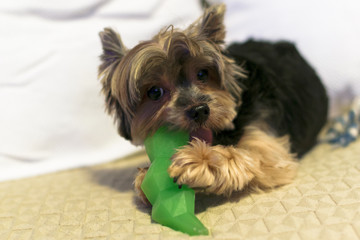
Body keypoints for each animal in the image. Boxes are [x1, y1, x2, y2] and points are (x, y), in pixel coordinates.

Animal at [98, 3, 330, 203]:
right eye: (155, 92)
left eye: (202, 74)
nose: (200, 110)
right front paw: (145, 177)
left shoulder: (269, 148)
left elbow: (246, 155)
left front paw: (199, 160)